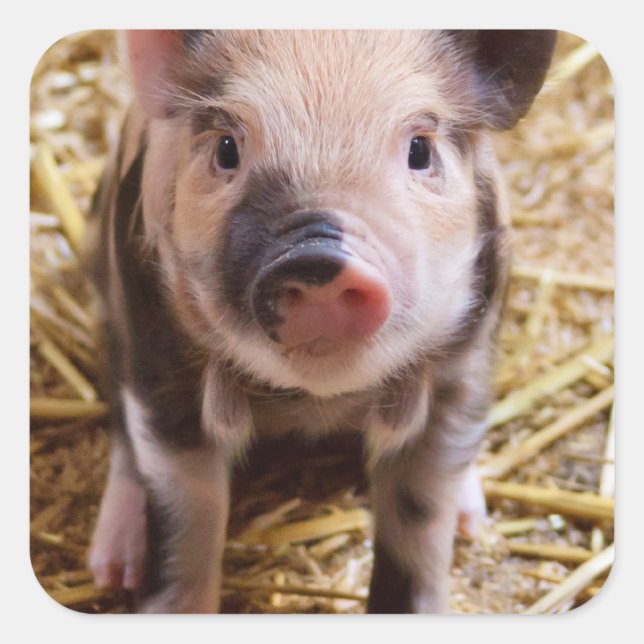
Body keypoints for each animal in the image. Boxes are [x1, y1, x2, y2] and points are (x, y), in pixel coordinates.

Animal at [86, 30, 556, 613]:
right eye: (226, 148)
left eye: (420, 150)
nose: (317, 258)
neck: (314, 402)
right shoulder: (159, 360)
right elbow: (183, 528)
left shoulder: (463, 368)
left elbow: (420, 525)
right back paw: (110, 569)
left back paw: (472, 522)